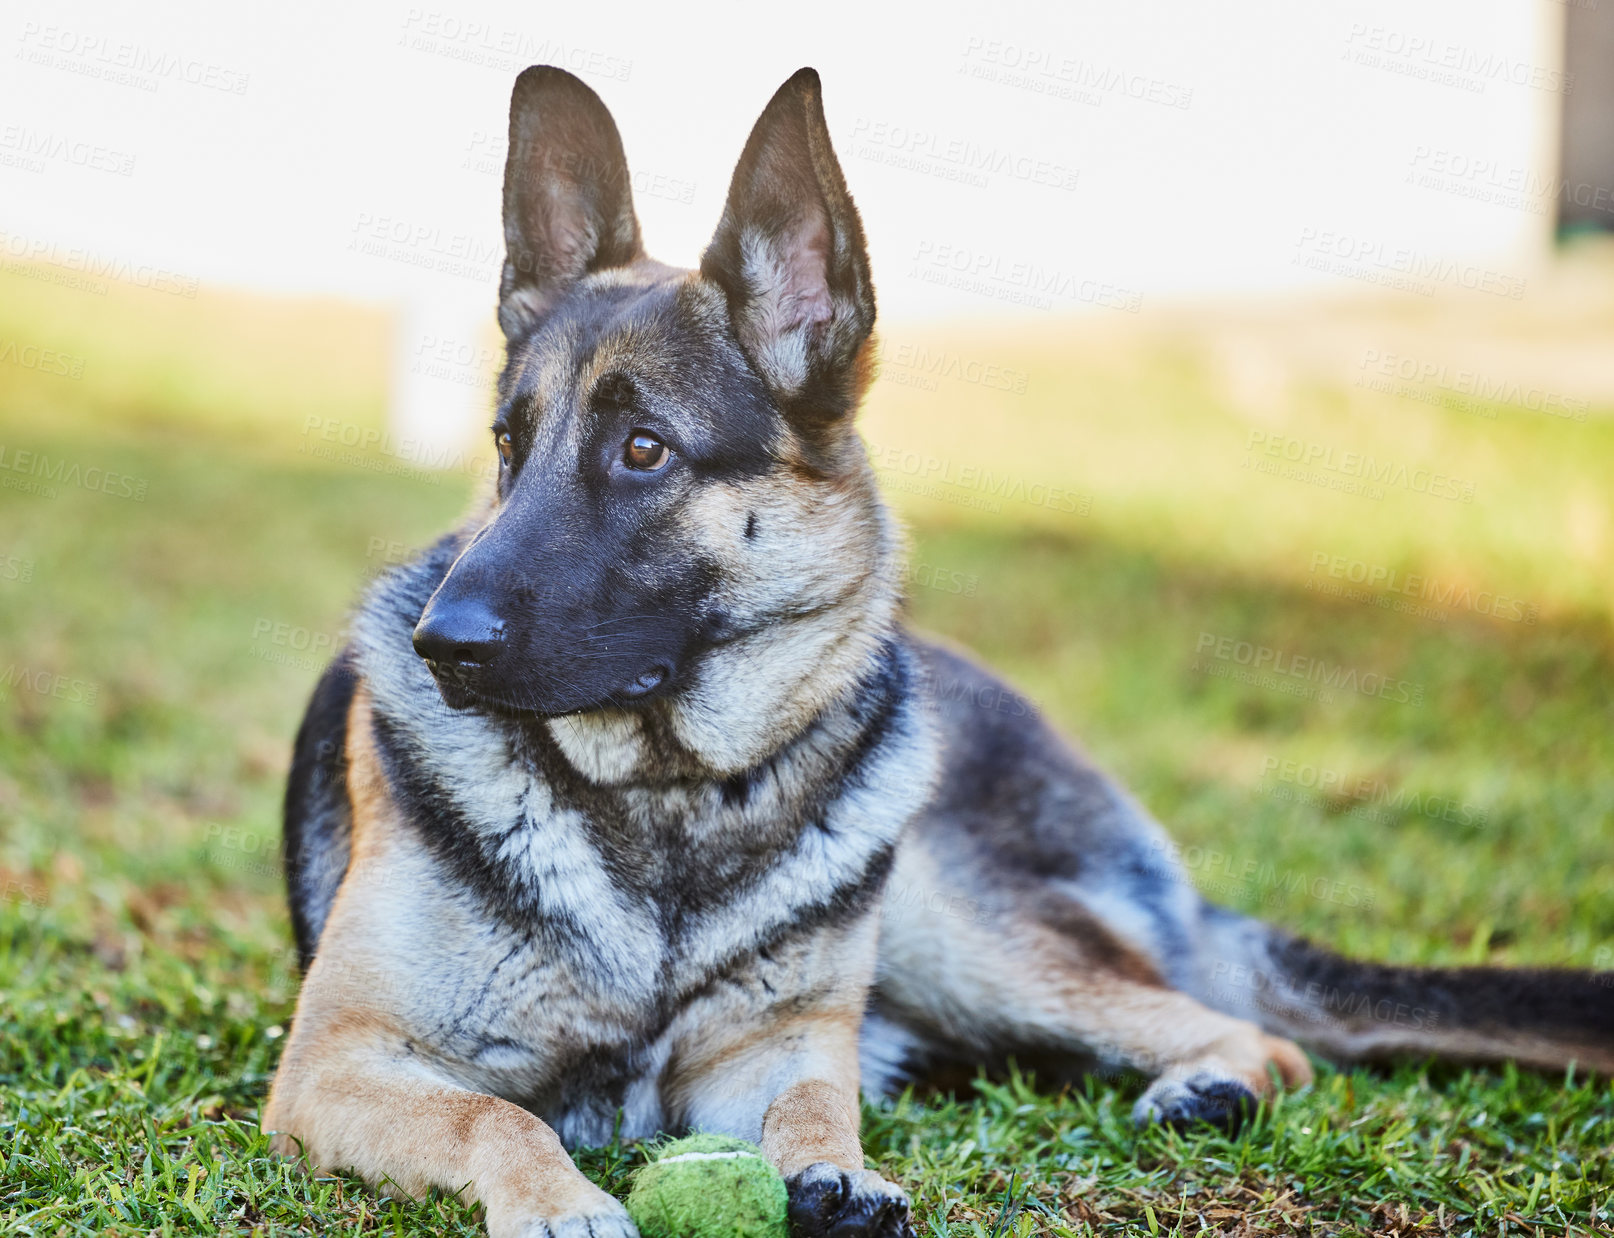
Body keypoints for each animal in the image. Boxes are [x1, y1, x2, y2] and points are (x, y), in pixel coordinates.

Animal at [264, 65, 1614, 1238]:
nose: (442, 642)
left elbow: (817, 1097)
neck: (669, 802)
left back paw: (1205, 1082)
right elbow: (498, 1115)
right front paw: (563, 1201)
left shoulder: (769, 1051)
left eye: (644, 450)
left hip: (953, 924)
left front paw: (835, 1170)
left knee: (1256, 1036)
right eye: (507, 443)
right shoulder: (336, 1060)